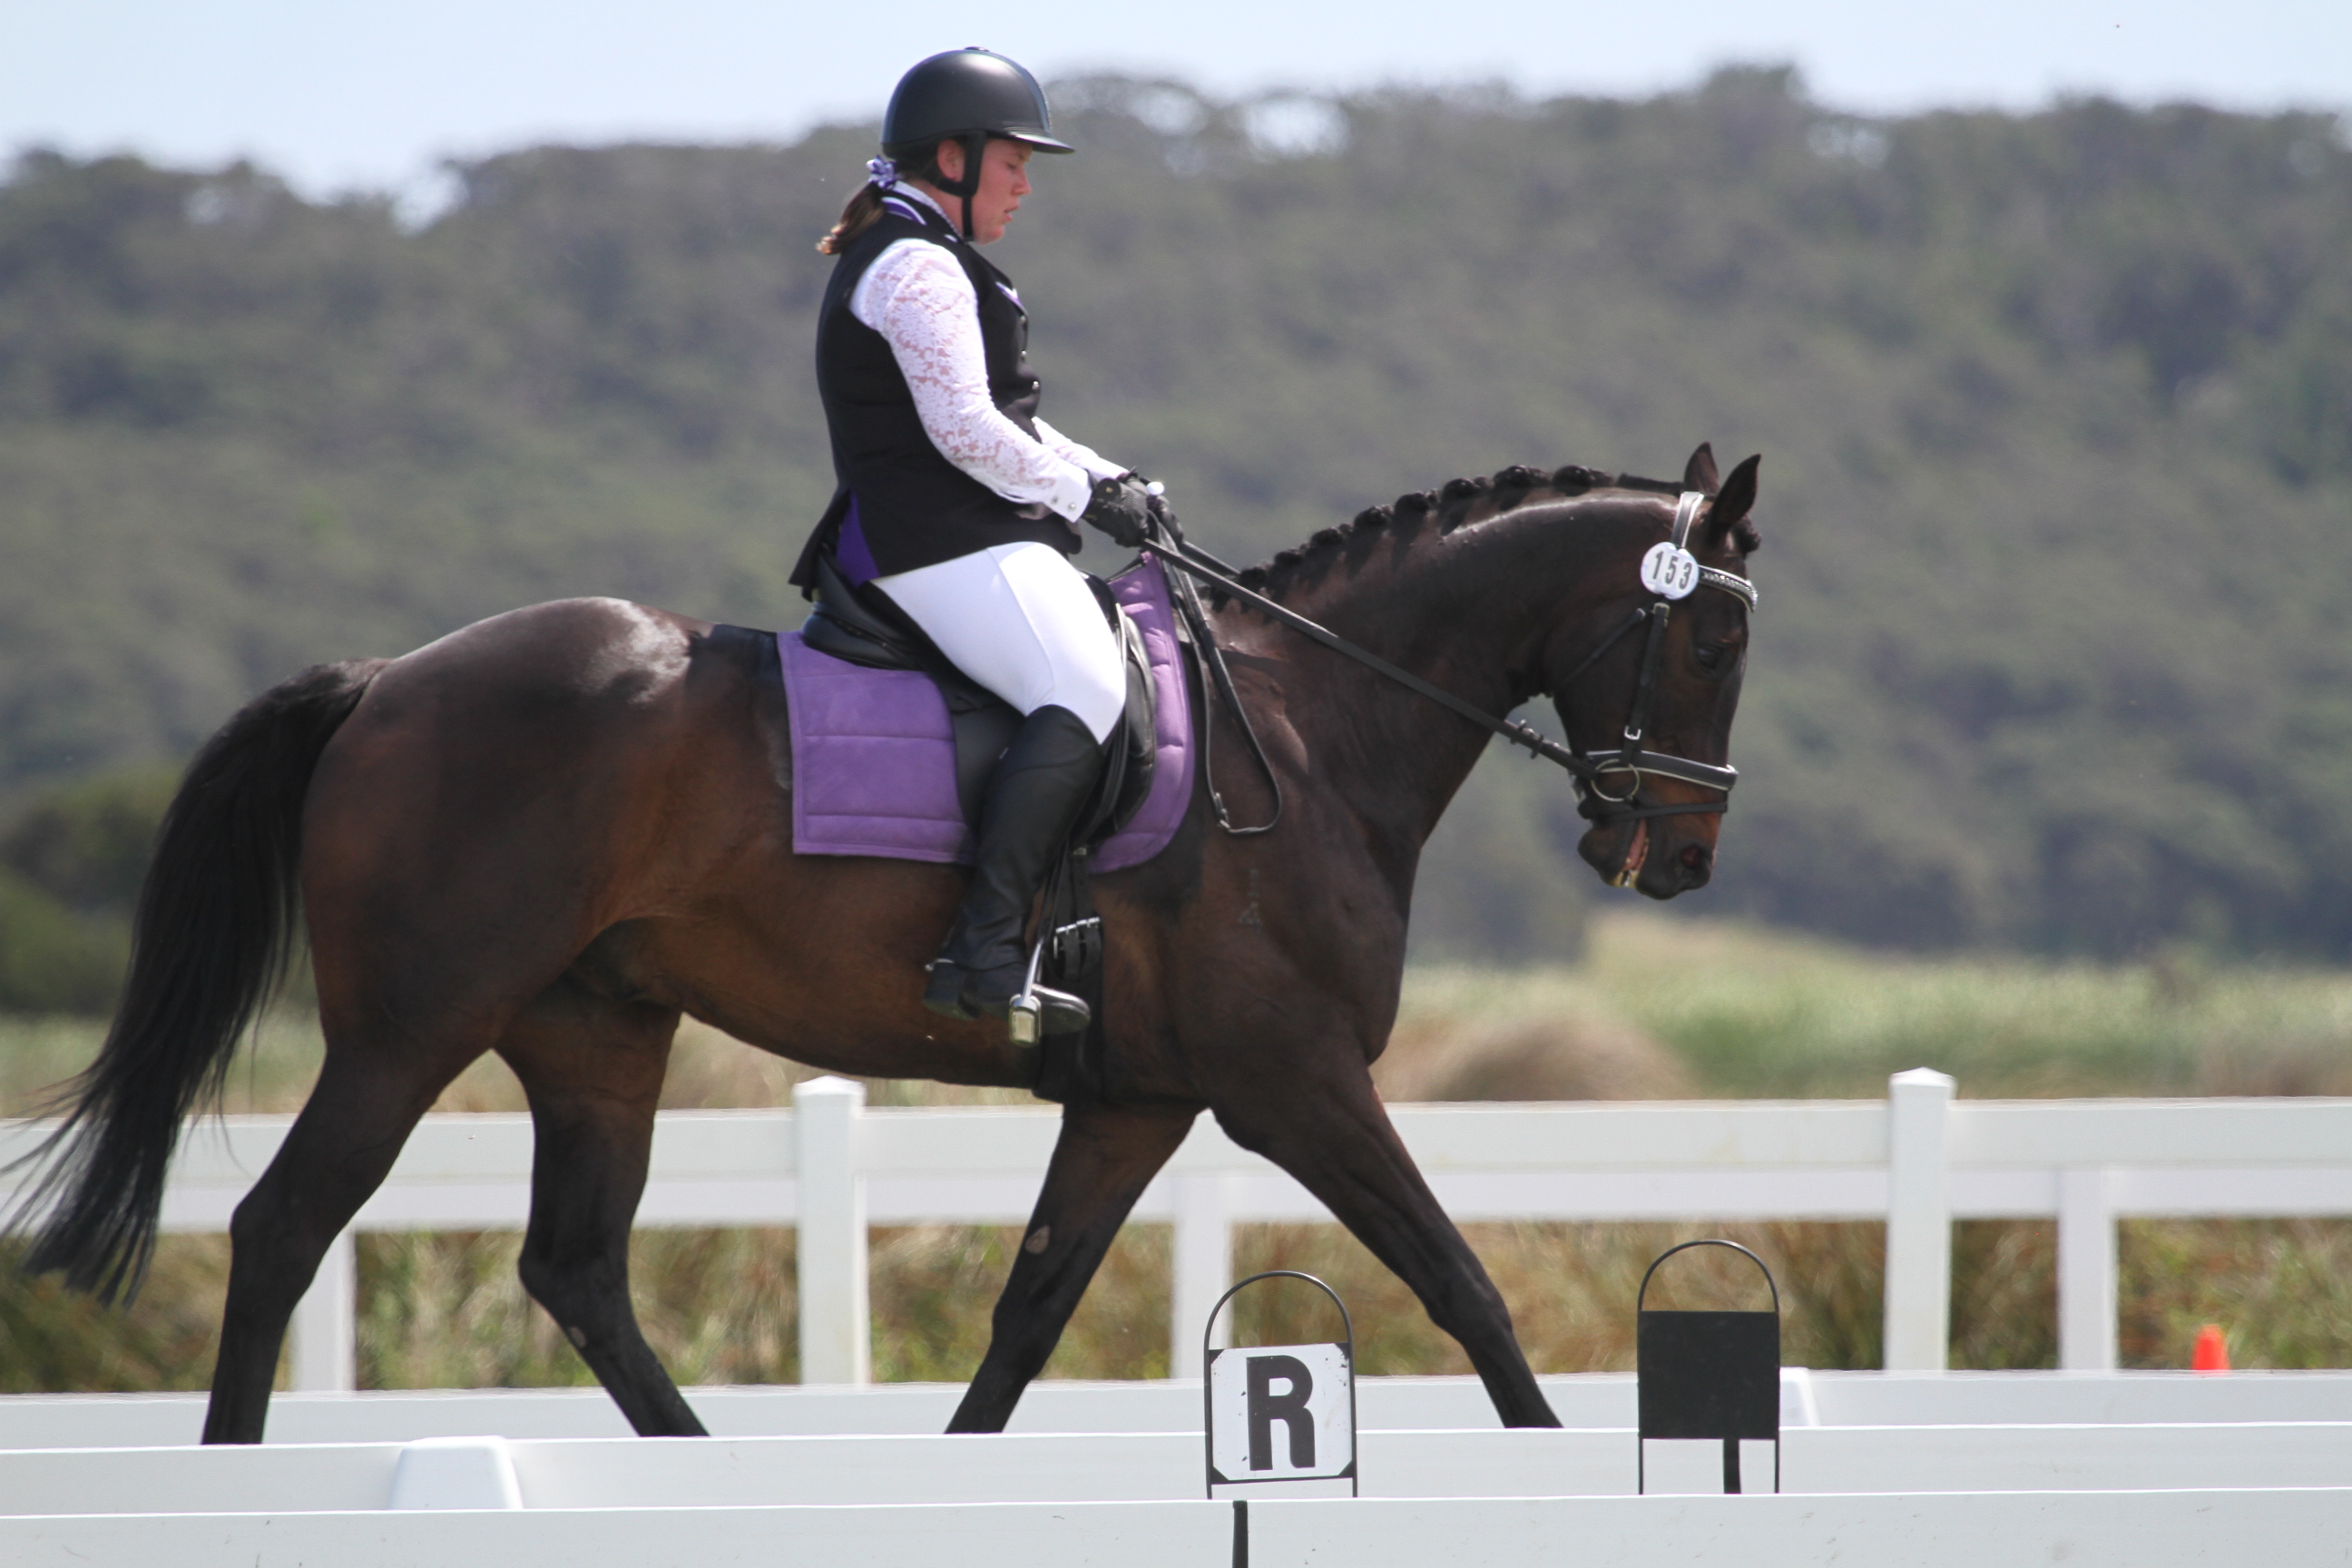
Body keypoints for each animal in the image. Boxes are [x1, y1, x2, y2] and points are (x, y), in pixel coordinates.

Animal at [13, 444, 1761, 1444]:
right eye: (1717, 635)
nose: (1678, 856)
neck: (1310, 729)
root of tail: (386, 680)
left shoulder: (1138, 1100)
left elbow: (1028, 1316)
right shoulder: (1297, 1082)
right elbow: (1466, 1286)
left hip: (593, 1033)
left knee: (575, 1267)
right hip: (408, 1031)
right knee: (282, 1228)